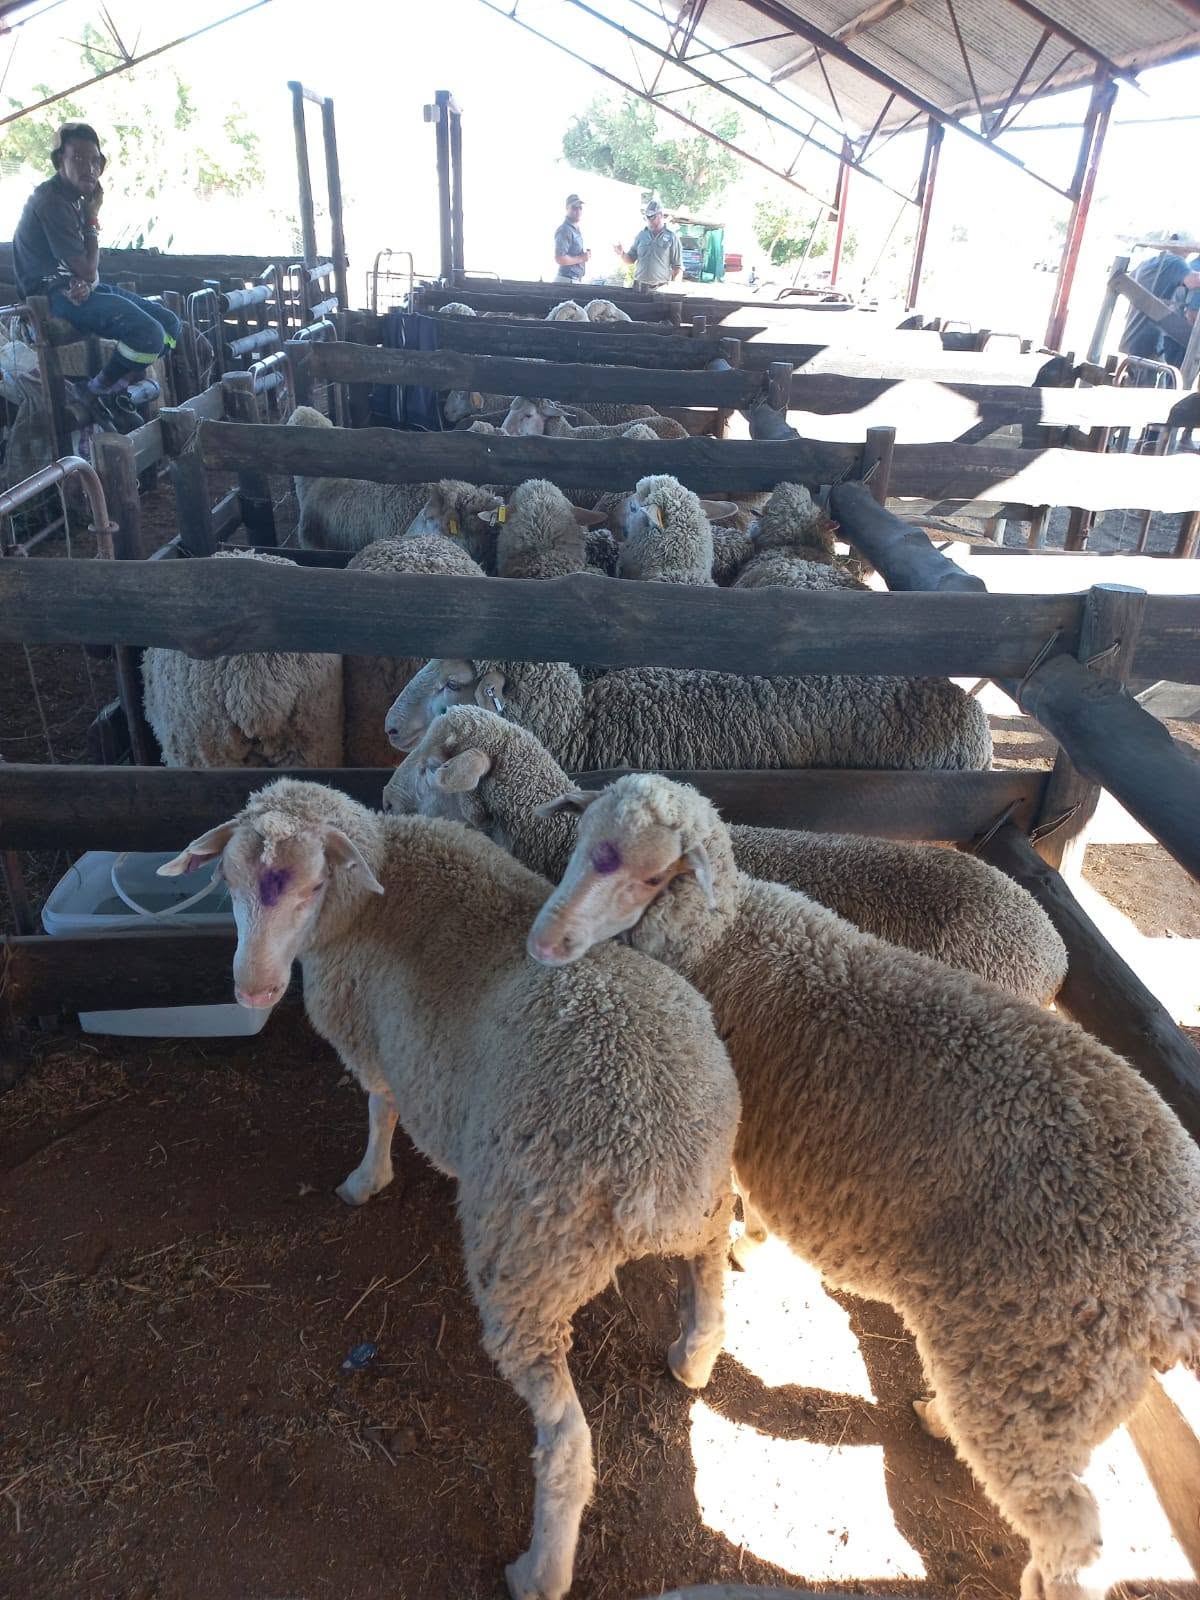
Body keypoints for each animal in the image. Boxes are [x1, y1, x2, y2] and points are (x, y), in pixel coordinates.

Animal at [159, 779, 739, 1600]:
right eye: (229, 884)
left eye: (310, 886)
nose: (253, 990)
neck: (377, 889)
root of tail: (658, 1174)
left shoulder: (371, 1036)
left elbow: (379, 1107)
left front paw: (365, 1180)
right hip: (708, 1208)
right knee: (710, 1293)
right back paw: (692, 1357)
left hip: (528, 1258)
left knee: (566, 1441)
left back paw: (539, 1570)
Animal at [527, 772, 1200, 1600]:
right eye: (583, 838)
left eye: (652, 874)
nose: (547, 942)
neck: (725, 935)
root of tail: (1176, 1256)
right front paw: (753, 1246)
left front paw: (728, 1281)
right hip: (1065, 1378)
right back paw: (940, 1417)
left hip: (1039, 1353)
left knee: (1070, 1525)